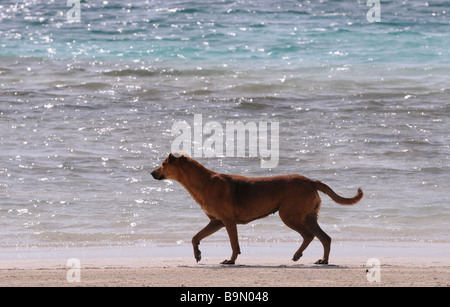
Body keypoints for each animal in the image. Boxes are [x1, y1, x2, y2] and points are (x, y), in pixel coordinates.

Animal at [151, 153, 362, 264]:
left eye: (163, 164)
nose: (152, 173)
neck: (203, 182)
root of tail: (310, 181)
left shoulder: (227, 222)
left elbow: (234, 244)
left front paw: (231, 261)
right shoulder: (215, 222)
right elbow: (195, 237)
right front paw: (198, 254)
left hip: (289, 215)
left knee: (310, 235)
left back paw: (300, 255)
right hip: (307, 216)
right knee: (324, 237)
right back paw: (321, 260)